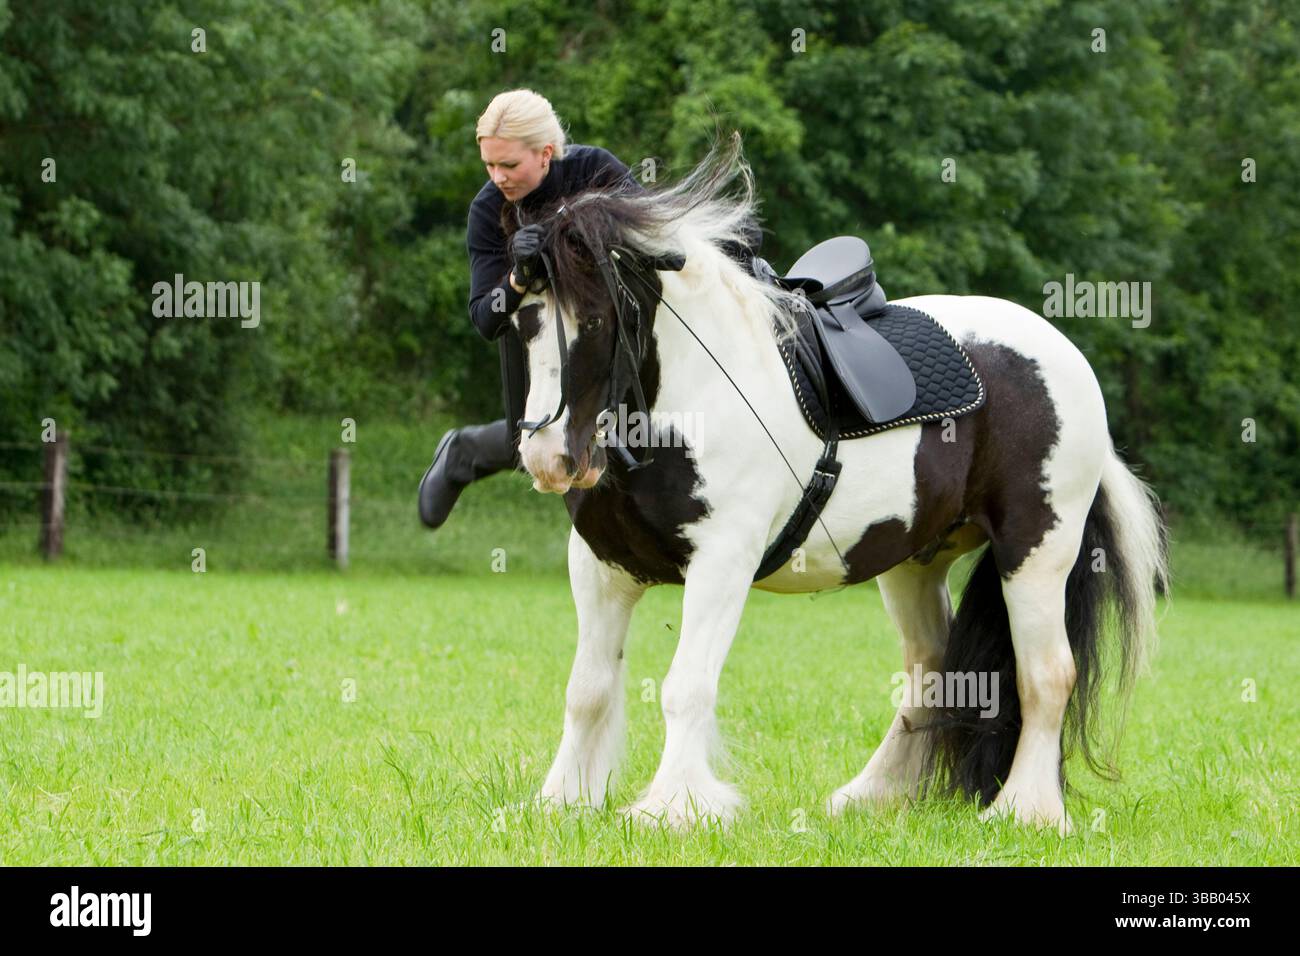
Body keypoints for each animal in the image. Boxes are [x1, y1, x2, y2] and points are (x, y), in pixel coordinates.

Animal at [501, 137, 1169, 834]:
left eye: (597, 320)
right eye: (523, 319)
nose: (548, 456)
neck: (693, 399)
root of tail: (1063, 353)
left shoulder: (722, 562)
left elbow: (687, 686)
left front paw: (673, 807)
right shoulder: (600, 566)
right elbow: (587, 690)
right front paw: (561, 800)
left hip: (1037, 552)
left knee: (1046, 675)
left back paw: (1026, 811)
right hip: (914, 563)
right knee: (932, 671)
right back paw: (873, 795)